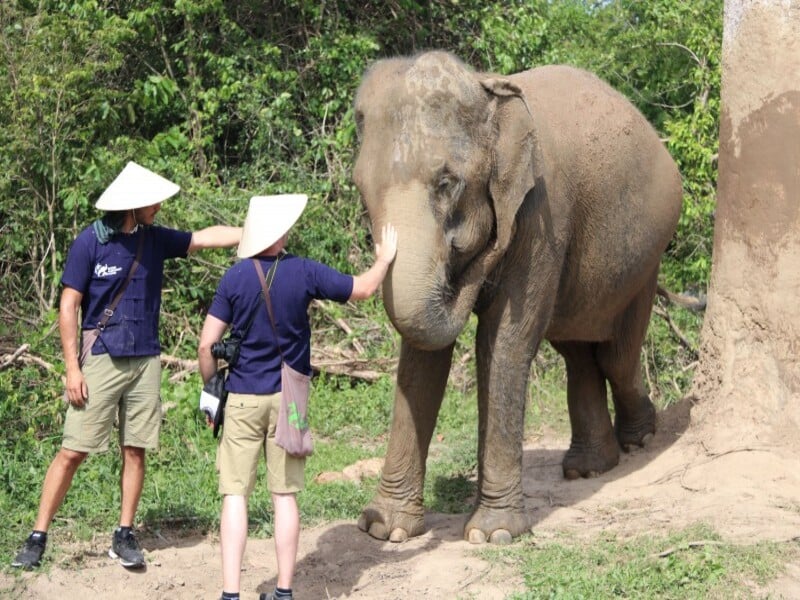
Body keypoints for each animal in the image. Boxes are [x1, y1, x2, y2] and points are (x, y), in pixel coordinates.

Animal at [352, 51, 682, 544]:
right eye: (360, 190)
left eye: (447, 183)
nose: (471, 276)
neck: (489, 93)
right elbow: (421, 357)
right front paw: (383, 530)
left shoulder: (541, 212)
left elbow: (503, 342)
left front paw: (492, 535)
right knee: (577, 353)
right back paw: (589, 469)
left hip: (646, 258)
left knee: (615, 356)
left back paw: (640, 439)